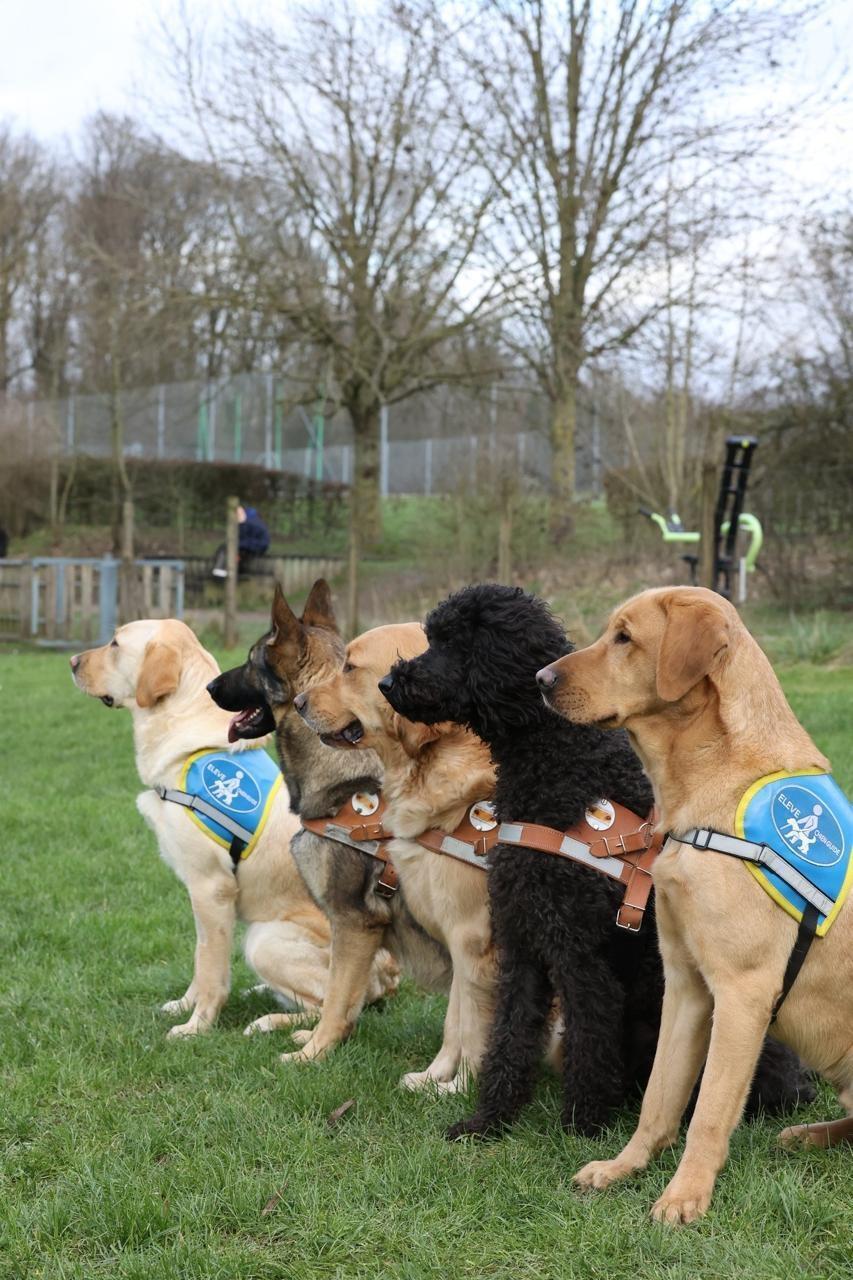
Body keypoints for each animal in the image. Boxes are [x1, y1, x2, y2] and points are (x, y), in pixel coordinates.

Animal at [69, 619, 394, 1039]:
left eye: (114, 644)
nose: (72, 662)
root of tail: (391, 974)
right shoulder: (201, 897)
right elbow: (202, 956)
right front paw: (184, 1006)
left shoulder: (212, 888)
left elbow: (212, 970)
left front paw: (196, 1026)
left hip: (264, 940)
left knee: (334, 1007)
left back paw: (269, 1021)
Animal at [206, 583, 448, 1070]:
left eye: (250, 660)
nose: (208, 686)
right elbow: (343, 996)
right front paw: (318, 1041)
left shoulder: (355, 922)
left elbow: (336, 998)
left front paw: (313, 1054)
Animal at [295, 619, 502, 1090]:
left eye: (350, 667)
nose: (297, 702)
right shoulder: (453, 932)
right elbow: (454, 1021)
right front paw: (432, 1079)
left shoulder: (473, 937)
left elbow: (475, 1027)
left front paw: (460, 1090)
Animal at [535, 586, 845, 1223]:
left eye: (625, 638)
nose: (539, 678)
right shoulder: (685, 985)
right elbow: (658, 1097)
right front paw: (624, 1167)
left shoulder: (743, 993)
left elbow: (706, 1113)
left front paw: (684, 1195)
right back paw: (809, 1134)